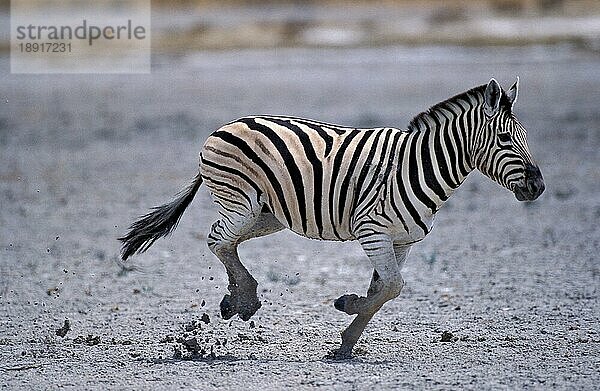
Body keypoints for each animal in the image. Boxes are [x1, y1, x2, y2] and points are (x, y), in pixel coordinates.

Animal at [117, 78, 544, 360]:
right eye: (505, 139)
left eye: (525, 136)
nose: (538, 186)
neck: (419, 166)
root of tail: (225, 125)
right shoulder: (373, 231)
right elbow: (393, 287)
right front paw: (347, 307)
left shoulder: (401, 241)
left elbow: (383, 290)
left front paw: (347, 339)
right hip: (241, 201)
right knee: (218, 239)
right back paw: (246, 297)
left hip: (267, 214)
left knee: (224, 240)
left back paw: (236, 299)